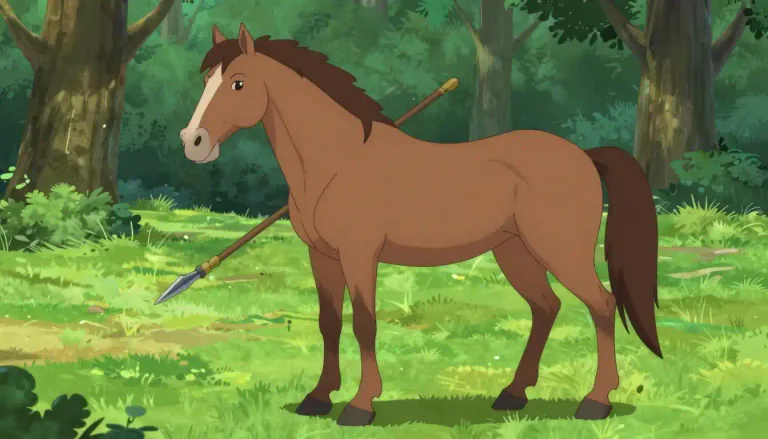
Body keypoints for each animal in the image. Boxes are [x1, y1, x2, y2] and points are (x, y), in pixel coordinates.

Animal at [179, 23, 662, 427]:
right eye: (205, 81)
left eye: (238, 82)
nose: (193, 142)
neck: (337, 162)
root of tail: (583, 156)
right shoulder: (322, 256)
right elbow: (329, 323)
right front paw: (317, 398)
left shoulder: (360, 255)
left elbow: (365, 323)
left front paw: (360, 406)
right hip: (514, 251)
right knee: (547, 308)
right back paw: (512, 394)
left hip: (559, 250)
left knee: (601, 305)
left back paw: (595, 402)